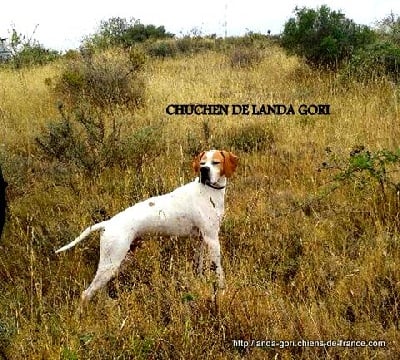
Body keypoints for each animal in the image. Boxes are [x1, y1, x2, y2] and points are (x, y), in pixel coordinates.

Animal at [55, 150, 238, 302]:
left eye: (215, 162)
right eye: (202, 163)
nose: (204, 171)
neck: (209, 191)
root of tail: (107, 223)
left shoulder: (202, 240)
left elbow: (199, 266)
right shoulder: (212, 240)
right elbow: (219, 271)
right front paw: (223, 290)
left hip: (120, 259)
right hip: (111, 262)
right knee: (86, 293)